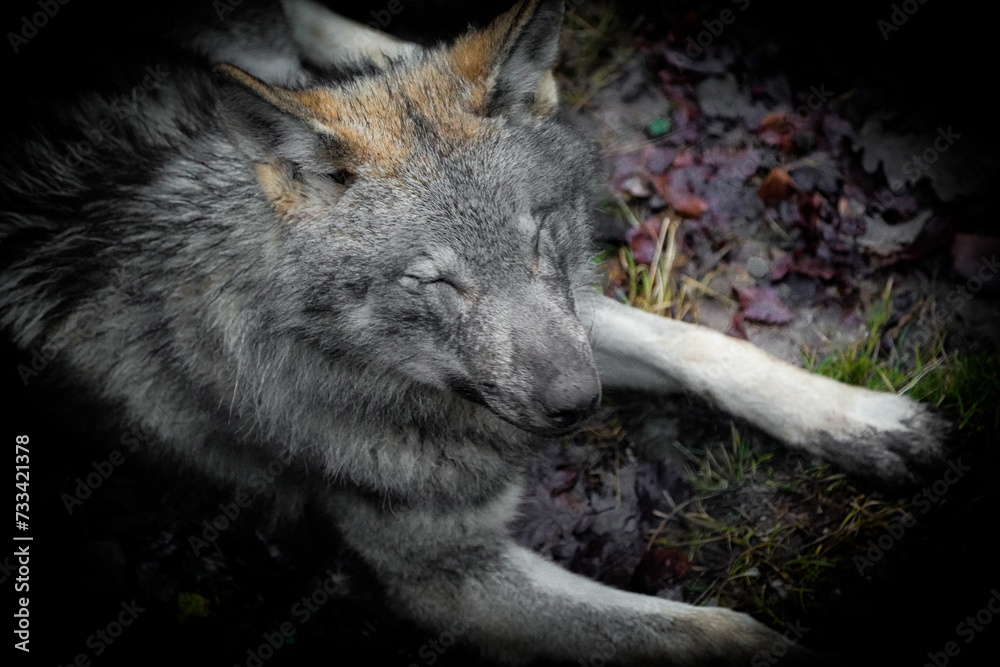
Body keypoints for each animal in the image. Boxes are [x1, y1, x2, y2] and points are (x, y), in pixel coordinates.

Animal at [0, 0, 947, 664]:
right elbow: (706, 631)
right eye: (435, 282)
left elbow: (700, 346)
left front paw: (868, 422)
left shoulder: (571, 329)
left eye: (538, 236)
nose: (578, 406)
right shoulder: (444, 580)